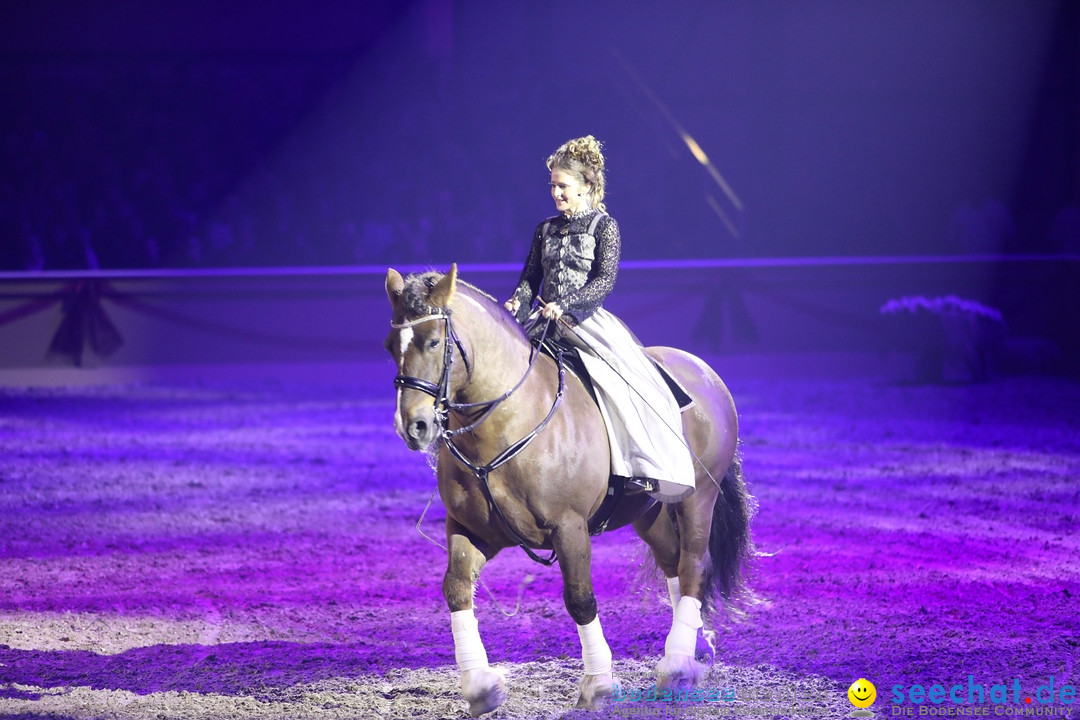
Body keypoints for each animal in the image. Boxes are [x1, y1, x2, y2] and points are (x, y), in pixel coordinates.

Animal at [386, 263, 751, 716]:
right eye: (390, 346)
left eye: (434, 341)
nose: (413, 427)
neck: (510, 422)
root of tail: (704, 371)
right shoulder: (471, 530)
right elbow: (456, 588)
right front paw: (481, 686)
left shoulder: (569, 528)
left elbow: (579, 598)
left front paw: (599, 684)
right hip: (648, 510)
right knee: (675, 565)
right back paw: (696, 651)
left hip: (698, 497)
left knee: (694, 566)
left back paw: (678, 666)